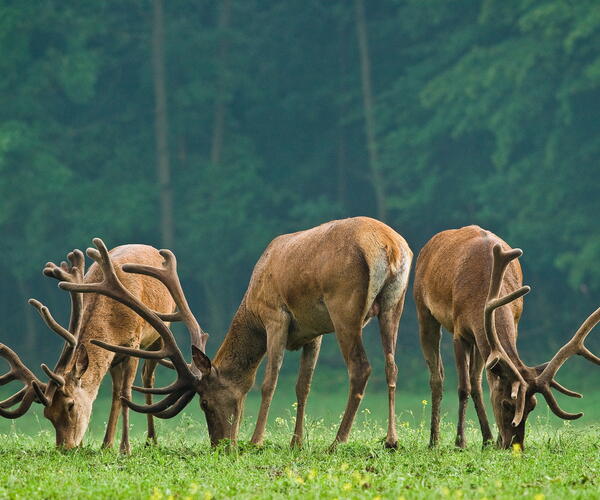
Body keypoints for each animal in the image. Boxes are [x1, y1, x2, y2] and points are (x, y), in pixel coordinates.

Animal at [0, 243, 178, 454]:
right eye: (47, 414)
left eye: (70, 405)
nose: (65, 448)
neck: (112, 323)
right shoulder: (113, 353)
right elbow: (116, 394)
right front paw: (100, 445)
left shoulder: (133, 342)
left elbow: (126, 394)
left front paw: (125, 449)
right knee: (116, 391)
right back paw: (108, 443)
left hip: (161, 332)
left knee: (147, 377)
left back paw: (151, 439)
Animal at [63, 219, 414, 450]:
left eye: (204, 402)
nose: (220, 444)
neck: (252, 311)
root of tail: (392, 247)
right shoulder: (313, 332)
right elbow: (303, 386)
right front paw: (296, 443)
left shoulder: (275, 315)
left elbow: (268, 381)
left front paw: (256, 440)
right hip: (394, 305)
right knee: (391, 365)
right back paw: (391, 439)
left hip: (344, 305)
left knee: (361, 367)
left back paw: (338, 441)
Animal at [414, 227, 596, 450]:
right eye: (506, 404)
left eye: (532, 406)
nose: (514, 445)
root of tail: (429, 244)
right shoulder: (460, 332)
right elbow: (462, 388)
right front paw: (460, 443)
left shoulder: (509, 325)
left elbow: (484, 382)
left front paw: (493, 440)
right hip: (422, 308)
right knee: (437, 376)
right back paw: (433, 441)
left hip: (479, 342)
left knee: (476, 381)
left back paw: (486, 439)